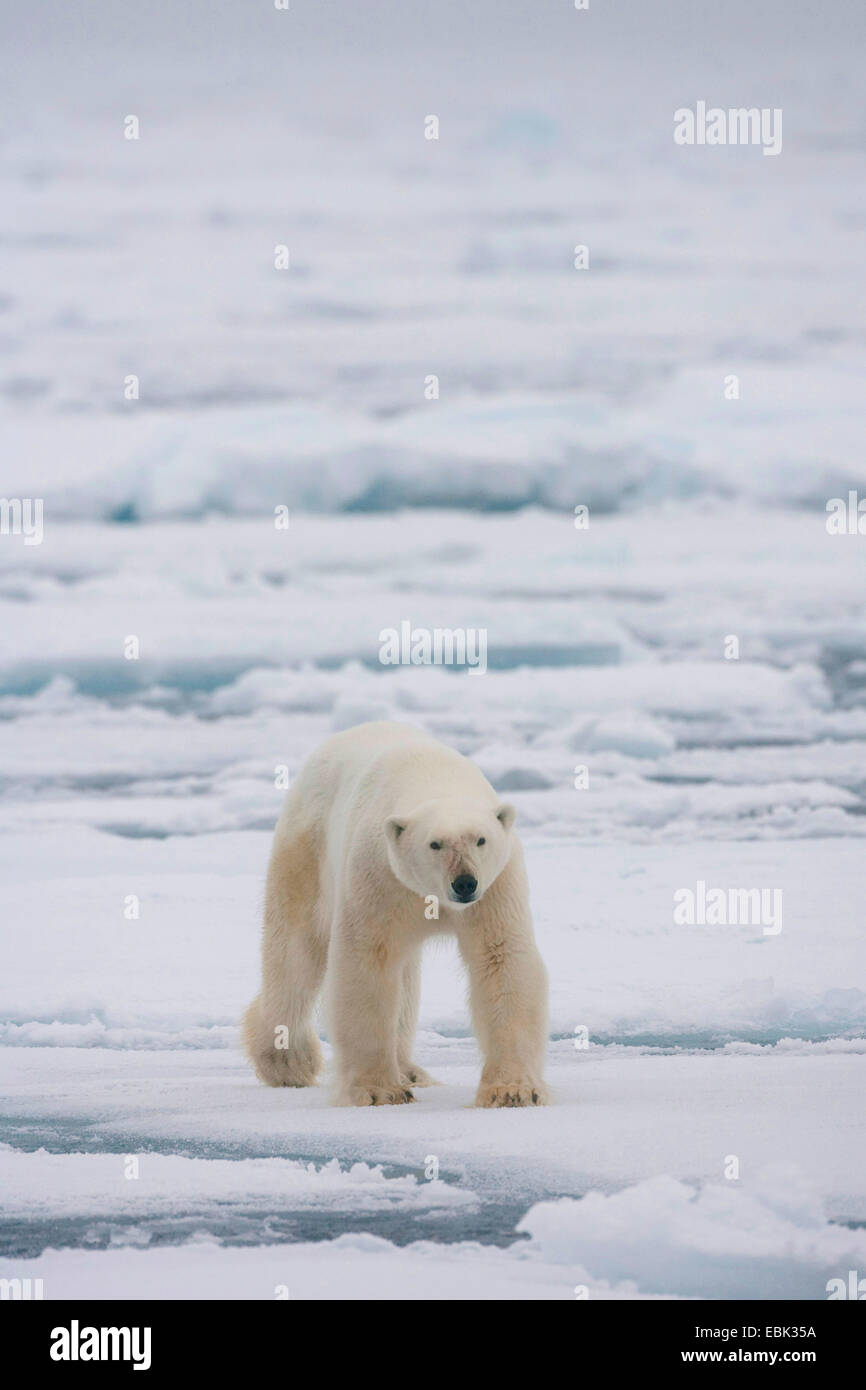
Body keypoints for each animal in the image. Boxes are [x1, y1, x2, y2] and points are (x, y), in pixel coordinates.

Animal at [244, 722, 547, 1100]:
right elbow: (367, 964)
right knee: (295, 953)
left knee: (404, 981)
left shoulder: (495, 889)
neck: (434, 778)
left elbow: (501, 959)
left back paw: (410, 1070)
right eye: (435, 844)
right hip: (307, 852)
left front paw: (512, 1091)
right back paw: (288, 1062)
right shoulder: (380, 876)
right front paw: (378, 1090)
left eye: (481, 839)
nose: (464, 883)